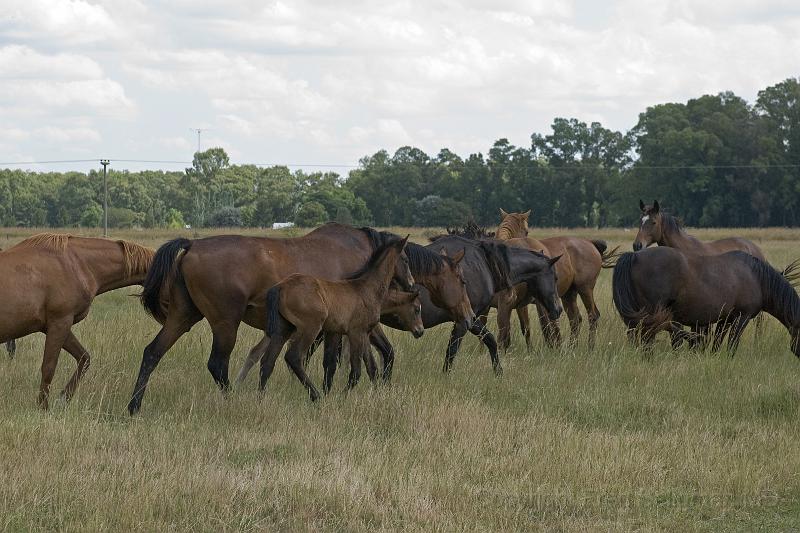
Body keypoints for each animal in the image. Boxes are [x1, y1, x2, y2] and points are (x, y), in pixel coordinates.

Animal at [0, 234, 153, 408]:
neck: (76, 264)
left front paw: (63, 398)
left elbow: (84, 358)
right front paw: (43, 407)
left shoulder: (57, 326)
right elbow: (48, 367)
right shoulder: (60, 322)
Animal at [260, 238, 416, 400]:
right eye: (405, 260)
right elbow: (356, 371)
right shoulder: (356, 333)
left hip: (283, 329)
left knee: (267, 362)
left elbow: (369, 367)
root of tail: (280, 287)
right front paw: (341, 396)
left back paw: (261, 398)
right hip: (310, 328)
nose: (411, 284)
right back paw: (316, 396)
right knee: (294, 357)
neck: (366, 289)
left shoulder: (360, 333)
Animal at [490, 208, 616, 350]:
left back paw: (590, 347)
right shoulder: (520, 304)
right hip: (569, 294)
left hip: (585, 289)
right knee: (575, 319)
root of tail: (590, 243)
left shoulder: (533, 303)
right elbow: (527, 327)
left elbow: (544, 326)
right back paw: (572, 347)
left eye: (527, 231)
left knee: (593, 316)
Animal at [612, 246, 800, 356]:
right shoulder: (742, 317)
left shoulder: (726, 319)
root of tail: (635, 256)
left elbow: (718, 341)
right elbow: (732, 343)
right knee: (649, 337)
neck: (755, 277)